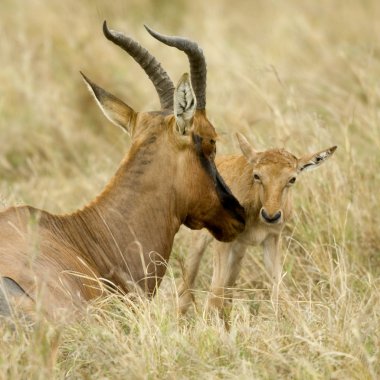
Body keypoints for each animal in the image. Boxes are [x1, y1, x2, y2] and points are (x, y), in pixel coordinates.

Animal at [178, 132, 336, 316]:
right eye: (257, 175)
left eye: (292, 179)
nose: (270, 216)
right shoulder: (223, 242)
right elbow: (214, 297)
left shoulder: (272, 239)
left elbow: (279, 294)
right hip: (201, 240)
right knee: (186, 289)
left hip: (239, 250)